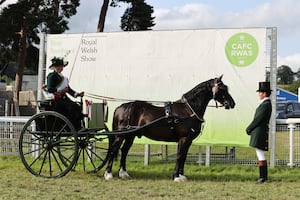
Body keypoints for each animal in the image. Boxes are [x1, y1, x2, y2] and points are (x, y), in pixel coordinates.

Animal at [104, 74, 236, 181]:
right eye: (223, 89)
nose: (232, 103)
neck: (188, 110)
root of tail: (121, 107)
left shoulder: (186, 140)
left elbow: (183, 157)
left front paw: (181, 175)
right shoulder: (184, 139)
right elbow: (179, 156)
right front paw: (176, 177)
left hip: (130, 136)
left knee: (124, 151)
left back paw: (123, 173)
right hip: (121, 135)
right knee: (114, 149)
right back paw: (108, 174)